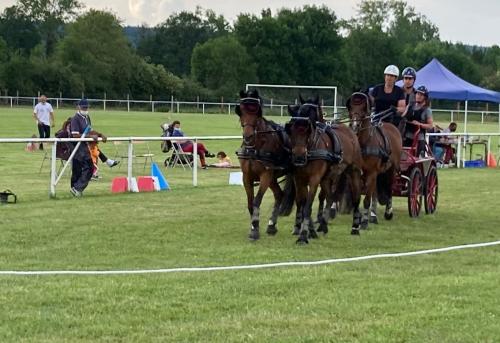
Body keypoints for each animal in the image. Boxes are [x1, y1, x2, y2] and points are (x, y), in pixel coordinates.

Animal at [236, 90, 294, 243]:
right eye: (241, 110)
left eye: (256, 111)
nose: (248, 136)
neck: (256, 147)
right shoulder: (247, 177)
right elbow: (250, 203)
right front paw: (254, 226)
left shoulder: (265, 176)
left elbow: (257, 201)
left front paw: (254, 231)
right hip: (273, 178)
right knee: (279, 195)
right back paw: (271, 225)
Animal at [286, 95, 364, 245]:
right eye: (291, 129)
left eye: (309, 128)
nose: (298, 156)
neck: (311, 147)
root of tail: (351, 132)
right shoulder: (299, 179)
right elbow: (302, 203)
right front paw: (307, 230)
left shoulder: (315, 179)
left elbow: (308, 206)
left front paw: (303, 236)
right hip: (328, 178)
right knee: (330, 196)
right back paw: (323, 225)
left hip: (353, 172)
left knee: (356, 197)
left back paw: (355, 227)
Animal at [348, 91, 402, 228]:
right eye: (351, 108)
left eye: (363, 109)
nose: (355, 126)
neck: (363, 143)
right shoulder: (358, 173)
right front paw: (359, 219)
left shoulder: (372, 172)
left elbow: (367, 199)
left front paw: (364, 222)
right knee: (375, 192)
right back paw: (374, 216)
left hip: (391, 170)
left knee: (389, 189)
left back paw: (388, 213)